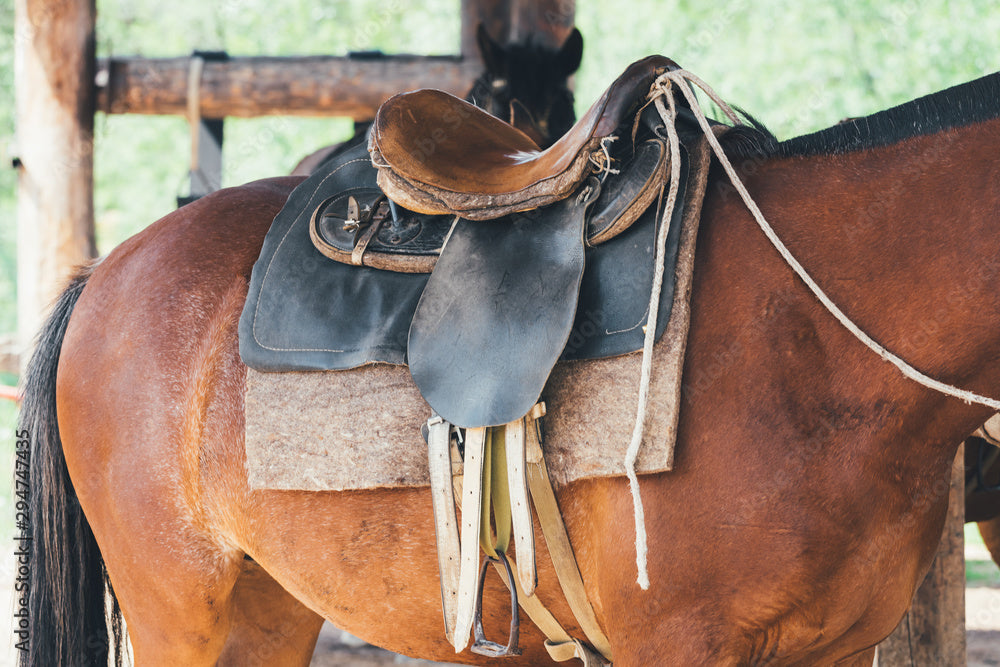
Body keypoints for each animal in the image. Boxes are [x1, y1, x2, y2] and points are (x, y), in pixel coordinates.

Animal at [15, 65, 1000, 664]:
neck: (814, 339)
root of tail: (104, 271)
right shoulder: (683, 641)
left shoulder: (838, 647)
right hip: (178, 607)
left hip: (265, 606)